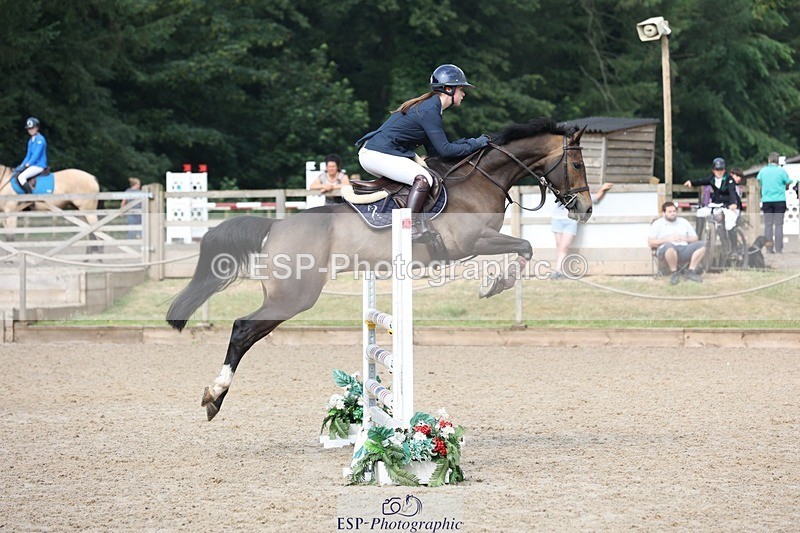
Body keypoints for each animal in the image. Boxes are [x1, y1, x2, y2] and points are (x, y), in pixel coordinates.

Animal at [166, 117, 592, 421]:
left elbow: (524, 247)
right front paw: (495, 285)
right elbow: (525, 246)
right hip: (293, 296)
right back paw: (214, 396)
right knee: (243, 329)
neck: (478, 181)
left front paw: (495, 283)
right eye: (575, 163)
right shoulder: (471, 243)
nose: (585, 208)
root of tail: (275, 226)